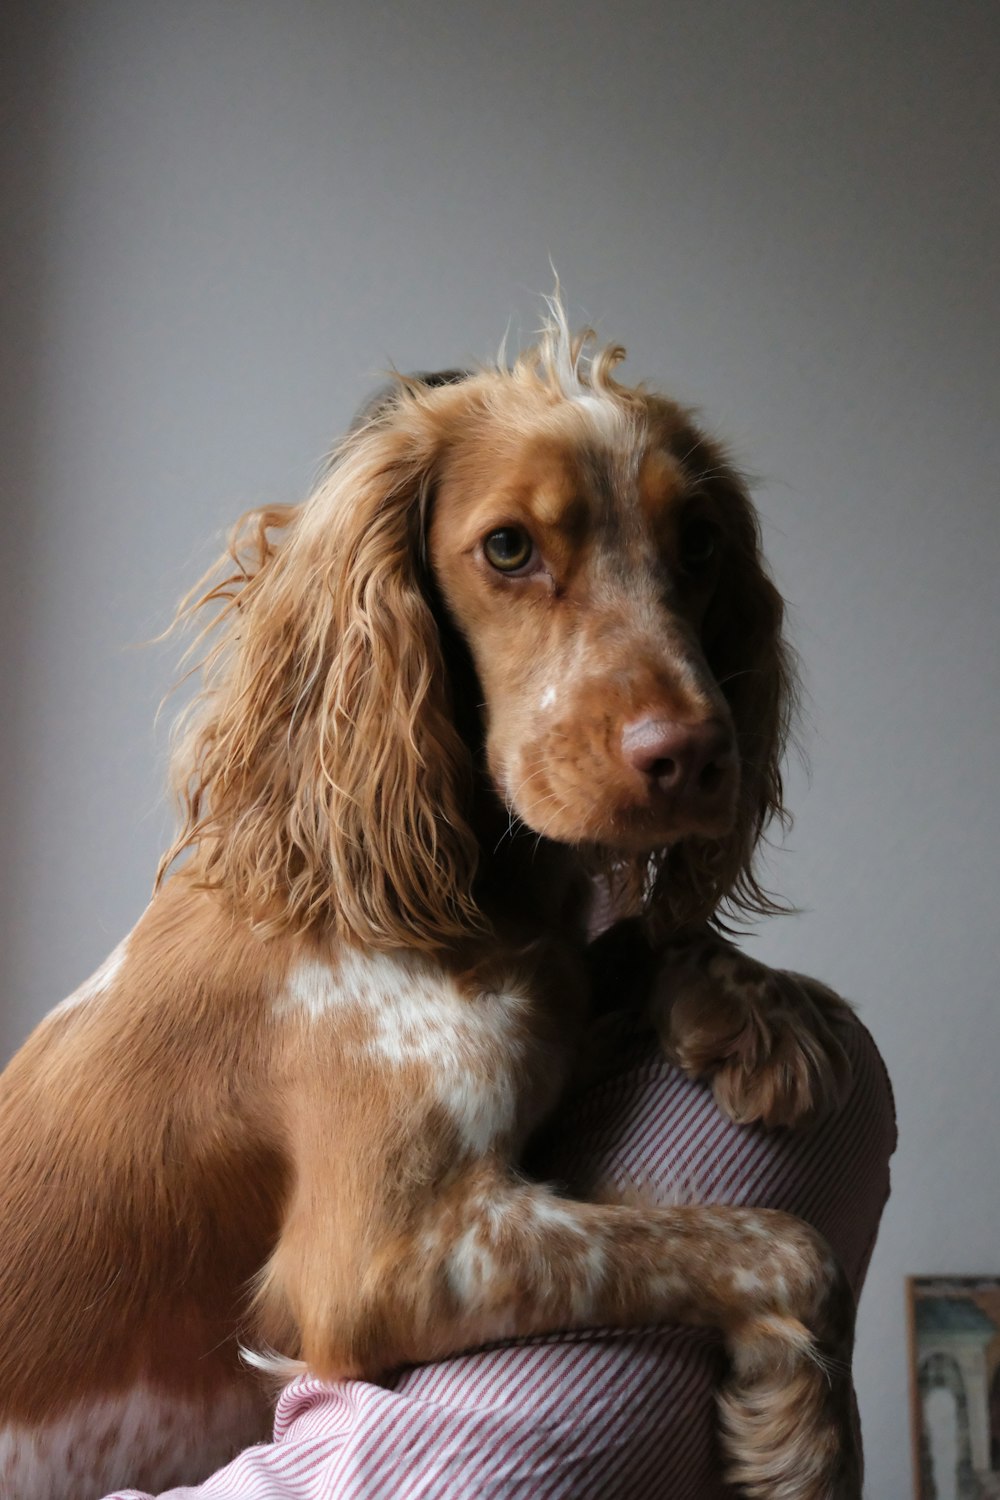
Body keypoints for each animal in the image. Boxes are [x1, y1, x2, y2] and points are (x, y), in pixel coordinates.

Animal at [0, 307, 863, 1500]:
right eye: (508, 548)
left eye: (698, 544)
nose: (691, 758)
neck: (473, 895)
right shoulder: (391, 1260)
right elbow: (780, 1244)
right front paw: (799, 1430)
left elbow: (631, 946)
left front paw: (749, 1007)